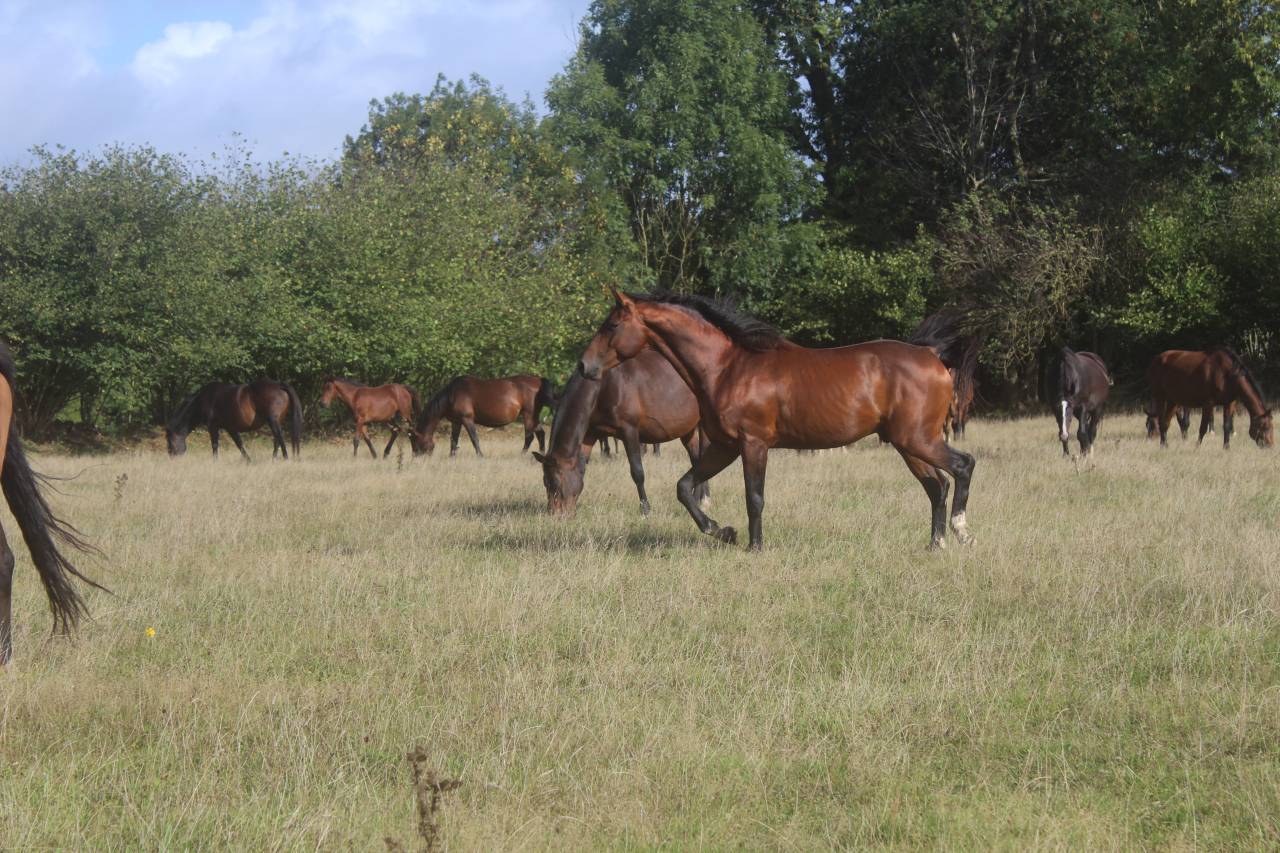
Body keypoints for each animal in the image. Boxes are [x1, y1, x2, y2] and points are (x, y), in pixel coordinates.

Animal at [166, 379, 303, 460]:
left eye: (169, 441)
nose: (172, 458)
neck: (204, 399)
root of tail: (280, 385)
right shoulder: (230, 428)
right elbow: (240, 444)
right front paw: (248, 461)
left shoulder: (213, 426)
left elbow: (215, 445)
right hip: (276, 421)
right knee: (276, 439)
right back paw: (274, 458)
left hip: (273, 420)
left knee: (279, 437)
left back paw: (285, 458)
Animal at [413, 375, 555, 457]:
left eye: (415, 441)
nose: (416, 458)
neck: (452, 395)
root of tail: (539, 381)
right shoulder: (456, 422)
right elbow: (453, 440)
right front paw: (451, 457)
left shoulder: (467, 419)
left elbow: (474, 438)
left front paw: (480, 456)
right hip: (534, 417)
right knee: (541, 434)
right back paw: (541, 454)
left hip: (528, 415)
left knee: (529, 437)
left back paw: (522, 455)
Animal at [533, 350, 709, 516]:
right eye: (544, 482)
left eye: (555, 482)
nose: (555, 514)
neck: (604, 385)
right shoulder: (590, 434)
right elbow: (582, 467)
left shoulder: (629, 431)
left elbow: (637, 472)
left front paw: (645, 510)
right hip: (688, 429)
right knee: (696, 459)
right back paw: (698, 498)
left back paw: (703, 499)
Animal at [579, 291, 976, 551]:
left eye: (612, 325)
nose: (584, 366)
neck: (727, 367)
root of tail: (930, 354)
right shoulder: (724, 446)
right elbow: (685, 487)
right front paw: (723, 531)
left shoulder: (752, 443)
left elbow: (754, 497)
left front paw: (753, 546)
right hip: (908, 444)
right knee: (937, 486)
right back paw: (936, 544)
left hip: (917, 439)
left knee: (963, 466)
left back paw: (961, 530)